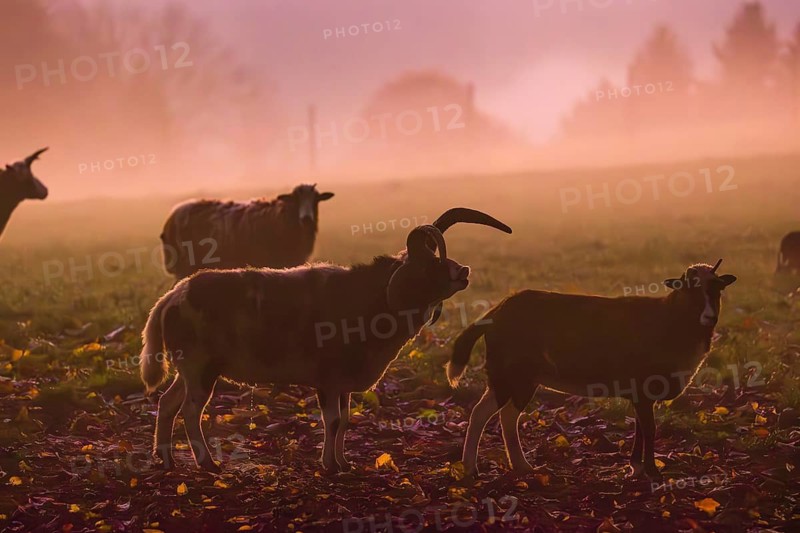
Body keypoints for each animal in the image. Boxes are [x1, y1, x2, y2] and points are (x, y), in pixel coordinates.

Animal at [139, 208, 512, 473]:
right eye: (426, 264)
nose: (462, 272)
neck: (370, 301)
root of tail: (172, 298)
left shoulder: (342, 383)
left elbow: (343, 421)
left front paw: (343, 463)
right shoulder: (327, 380)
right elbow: (331, 421)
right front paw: (329, 466)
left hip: (189, 371)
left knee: (167, 403)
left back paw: (166, 460)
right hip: (200, 370)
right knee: (190, 411)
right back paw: (207, 464)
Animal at [447, 260, 736, 479]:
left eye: (717, 288)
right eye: (689, 289)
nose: (710, 317)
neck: (671, 319)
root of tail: (496, 312)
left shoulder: (638, 393)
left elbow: (640, 427)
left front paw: (636, 467)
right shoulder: (643, 386)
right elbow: (650, 428)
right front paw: (652, 473)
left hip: (517, 378)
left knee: (504, 415)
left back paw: (520, 466)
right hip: (511, 375)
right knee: (484, 414)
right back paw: (472, 469)